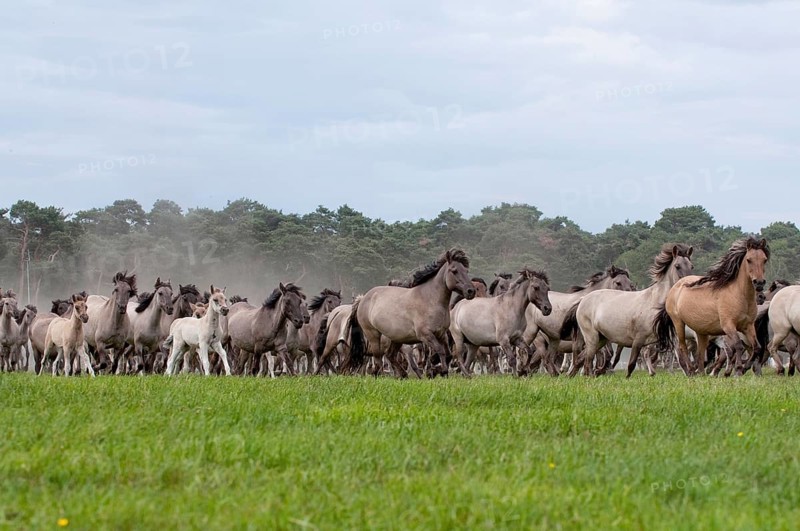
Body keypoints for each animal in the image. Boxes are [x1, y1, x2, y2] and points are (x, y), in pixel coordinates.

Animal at [346, 248, 476, 377]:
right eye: (454, 271)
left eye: (466, 270)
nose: (471, 291)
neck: (430, 300)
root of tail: (363, 298)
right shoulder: (425, 335)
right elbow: (440, 351)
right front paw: (440, 370)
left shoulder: (441, 334)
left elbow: (447, 354)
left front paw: (438, 370)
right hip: (373, 335)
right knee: (378, 360)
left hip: (397, 338)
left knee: (390, 355)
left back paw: (403, 375)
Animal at [562, 243, 694, 377]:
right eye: (677, 266)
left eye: (691, 266)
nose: (688, 283)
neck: (654, 301)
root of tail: (583, 299)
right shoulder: (638, 339)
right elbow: (631, 365)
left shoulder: (672, 338)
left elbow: (682, 358)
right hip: (591, 337)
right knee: (587, 359)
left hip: (601, 339)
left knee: (581, 359)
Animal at [654, 237, 768, 376]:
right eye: (749, 260)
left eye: (764, 259)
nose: (759, 283)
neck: (739, 295)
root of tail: (675, 287)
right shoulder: (728, 326)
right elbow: (738, 346)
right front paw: (738, 369)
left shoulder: (748, 326)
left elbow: (756, 347)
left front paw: (744, 367)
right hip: (678, 324)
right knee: (682, 347)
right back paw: (691, 371)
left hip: (700, 331)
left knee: (700, 353)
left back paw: (701, 372)